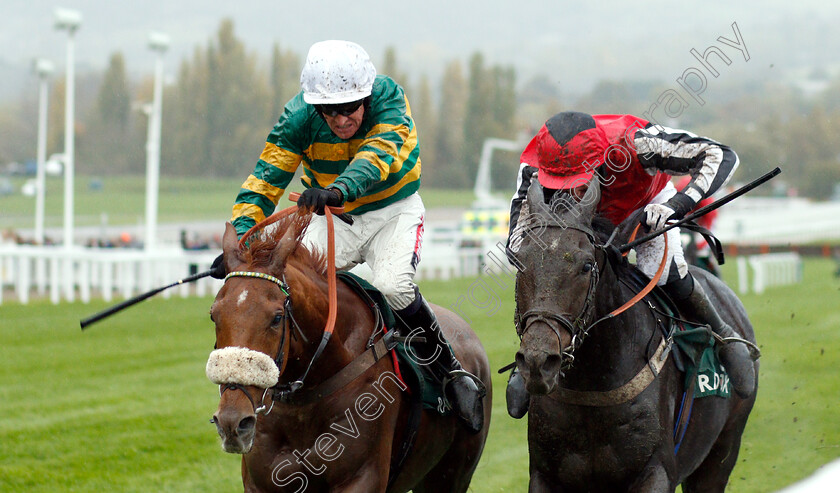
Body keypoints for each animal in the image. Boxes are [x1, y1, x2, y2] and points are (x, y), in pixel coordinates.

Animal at [207, 214, 492, 492]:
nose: (232, 421)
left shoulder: (362, 478)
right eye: (213, 314)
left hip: (450, 475)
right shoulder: (262, 483)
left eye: (277, 318)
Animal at [516, 179, 756, 490]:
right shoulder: (544, 475)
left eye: (586, 266)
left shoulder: (656, 471)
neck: (593, 385)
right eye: (518, 261)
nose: (537, 361)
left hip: (722, 453)